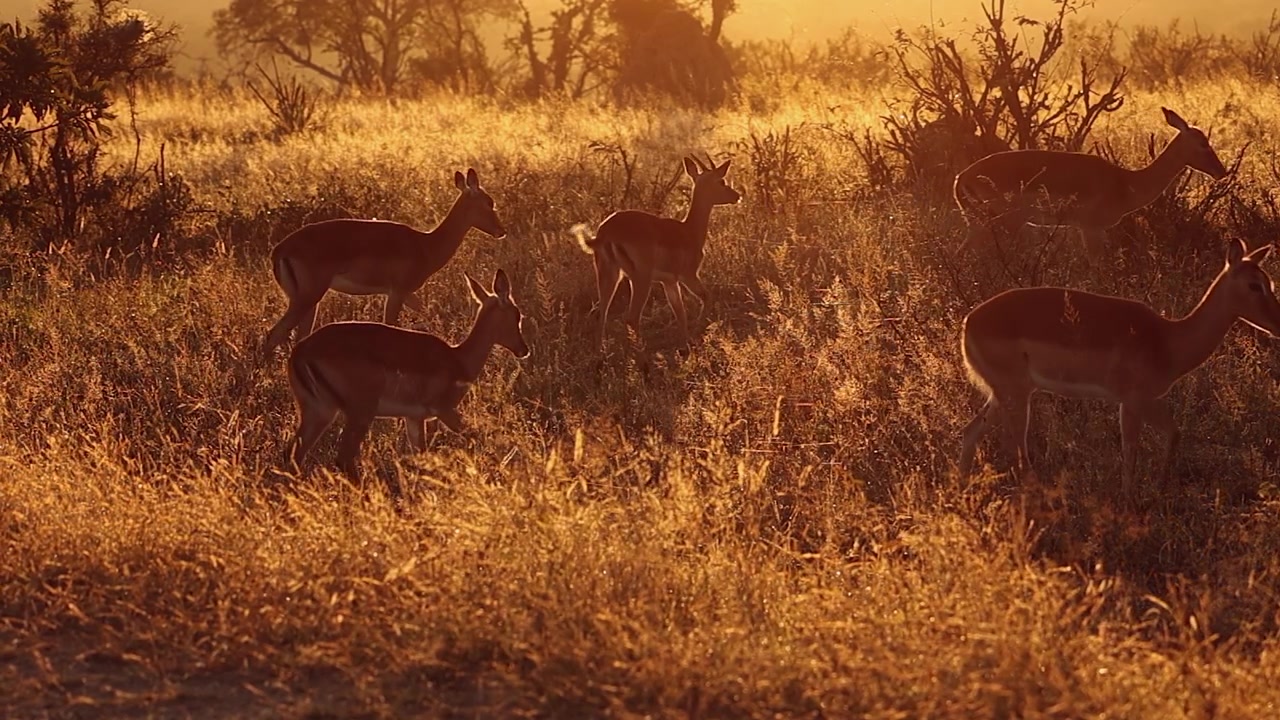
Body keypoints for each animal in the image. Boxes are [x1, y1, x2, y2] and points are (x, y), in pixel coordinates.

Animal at [261, 168, 506, 357]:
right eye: (489, 202)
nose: (501, 231)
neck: (425, 245)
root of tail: (279, 250)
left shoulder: (406, 294)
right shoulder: (396, 292)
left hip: (309, 302)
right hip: (306, 299)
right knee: (273, 334)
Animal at [285, 268, 530, 483]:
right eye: (517, 314)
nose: (523, 349)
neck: (458, 359)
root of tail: (300, 352)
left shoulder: (414, 418)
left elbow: (421, 457)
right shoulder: (444, 410)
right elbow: (478, 437)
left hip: (319, 412)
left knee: (293, 455)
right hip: (358, 413)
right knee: (342, 458)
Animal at [575, 154, 740, 349]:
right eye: (721, 181)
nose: (737, 196)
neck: (689, 231)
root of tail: (605, 232)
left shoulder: (668, 281)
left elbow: (680, 313)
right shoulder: (688, 276)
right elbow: (706, 298)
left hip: (610, 274)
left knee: (602, 313)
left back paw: (602, 352)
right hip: (641, 279)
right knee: (631, 318)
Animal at [954, 107, 1228, 255]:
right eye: (1202, 143)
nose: (1221, 171)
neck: (1124, 182)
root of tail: (961, 177)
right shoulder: (1091, 229)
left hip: (979, 225)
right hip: (1003, 225)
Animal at [958, 239, 1280, 500]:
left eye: (1270, 283)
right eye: (1255, 285)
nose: (1277, 324)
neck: (1168, 340)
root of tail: (969, 322)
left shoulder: (1139, 401)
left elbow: (1157, 440)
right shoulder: (1134, 400)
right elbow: (1140, 447)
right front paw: (1139, 497)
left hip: (1003, 394)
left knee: (971, 432)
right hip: (1016, 394)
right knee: (1016, 448)